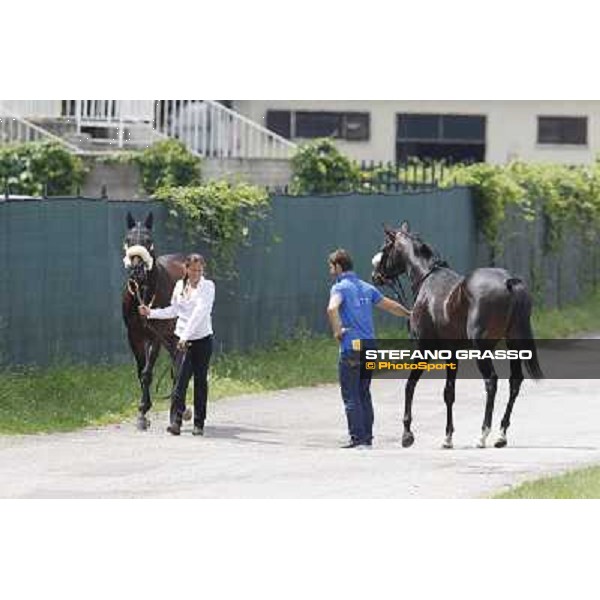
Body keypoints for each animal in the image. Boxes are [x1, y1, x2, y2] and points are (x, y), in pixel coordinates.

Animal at [121, 213, 188, 428]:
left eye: (148, 240)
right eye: (128, 239)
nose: (137, 270)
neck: (143, 293)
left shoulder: (155, 337)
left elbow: (147, 372)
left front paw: (143, 409)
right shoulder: (134, 336)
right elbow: (141, 370)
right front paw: (143, 412)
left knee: (180, 364)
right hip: (170, 338)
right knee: (176, 363)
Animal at [370, 223, 544, 448]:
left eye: (385, 247)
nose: (376, 275)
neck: (427, 279)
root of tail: (509, 282)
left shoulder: (424, 349)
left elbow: (410, 385)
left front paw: (407, 435)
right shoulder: (451, 352)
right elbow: (449, 392)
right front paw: (448, 437)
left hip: (482, 348)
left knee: (491, 381)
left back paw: (483, 435)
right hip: (513, 343)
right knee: (515, 381)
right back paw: (501, 435)